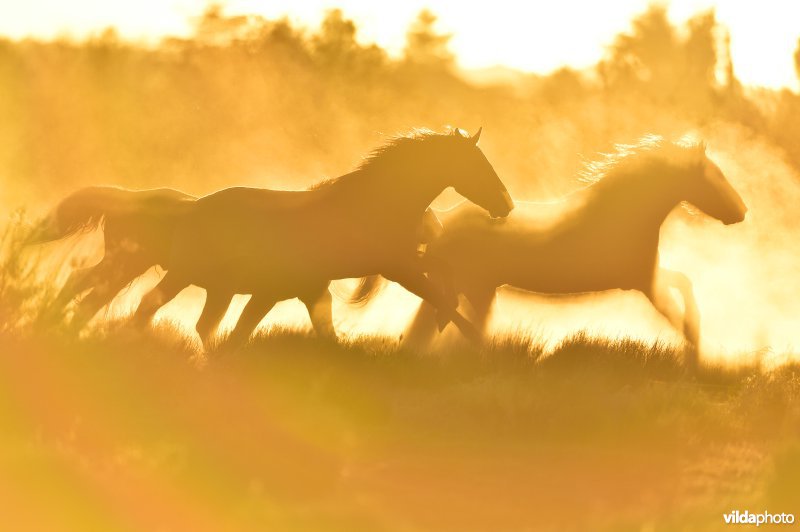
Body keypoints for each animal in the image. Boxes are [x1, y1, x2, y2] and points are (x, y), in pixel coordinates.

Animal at [131, 128, 514, 348]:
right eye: (476, 165)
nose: (506, 204)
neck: (377, 203)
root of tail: (192, 209)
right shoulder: (395, 267)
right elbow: (436, 292)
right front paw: (467, 334)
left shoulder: (397, 261)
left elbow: (442, 270)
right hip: (189, 277)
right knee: (152, 308)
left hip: (221, 289)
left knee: (200, 324)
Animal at [402, 135, 747, 368]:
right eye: (714, 176)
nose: (742, 212)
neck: (626, 216)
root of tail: (443, 222)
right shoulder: (645, 283)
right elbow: (677, 315)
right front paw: (696, 354)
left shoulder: (646, 277)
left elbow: (684, 282)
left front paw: (697, 341)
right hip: (477, 290)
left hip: (457, 288)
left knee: (426, 329)